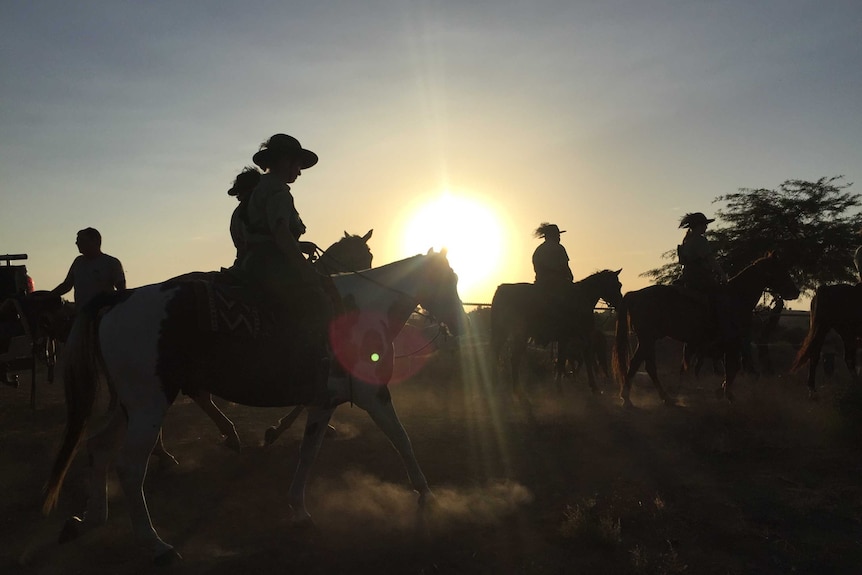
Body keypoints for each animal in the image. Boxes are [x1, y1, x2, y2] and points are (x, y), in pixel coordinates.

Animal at [490, 268, 624, 396]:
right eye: (617, 285)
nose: (620, 304)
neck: (581, 298)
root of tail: (501, 289)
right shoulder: (578, 337)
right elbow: (575, 360)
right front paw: (590, 386)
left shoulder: (566, 339)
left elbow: (563, 360)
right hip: (517, 335)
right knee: (513, 358)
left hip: (505, 333)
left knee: (503, 355)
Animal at [616, 253, 804, 410]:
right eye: (780, 270)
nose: (796, 291)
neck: (737, 297)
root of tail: (634, 294)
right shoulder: (732, 341)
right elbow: (733, 367)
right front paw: (726, 393)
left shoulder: (729, 344)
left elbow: (732, 367)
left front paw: (724, 391)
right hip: (647, 338)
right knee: (643, 365)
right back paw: (642, 398)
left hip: (648, 338)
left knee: (641, 365)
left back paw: (649, 398)